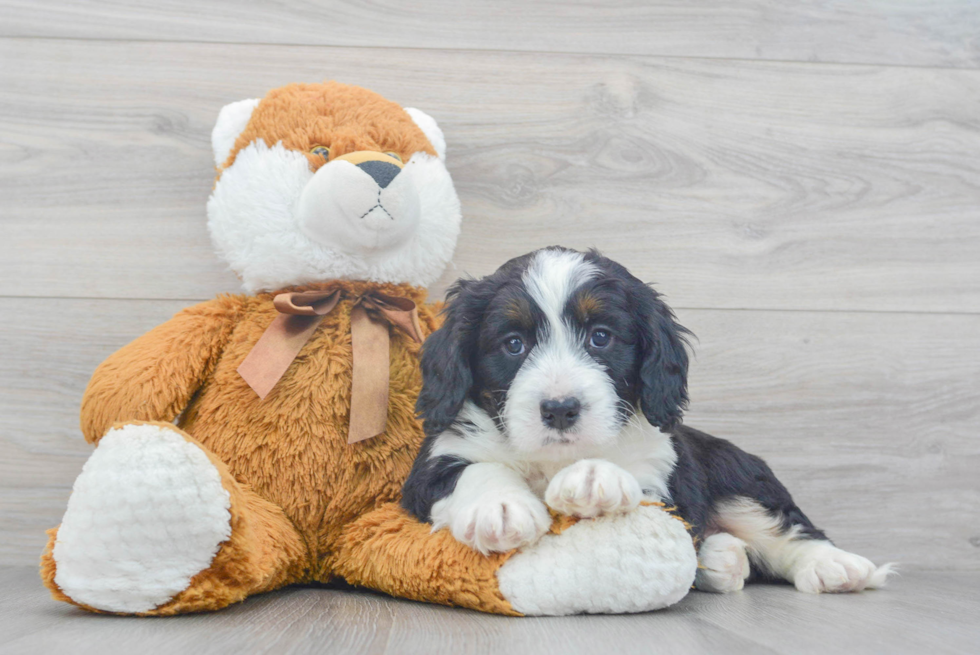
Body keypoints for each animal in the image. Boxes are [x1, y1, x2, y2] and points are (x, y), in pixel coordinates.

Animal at [400, 246, 896, 596]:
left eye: (601, 337)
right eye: (513, 344)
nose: (559, 409)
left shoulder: (663, 476)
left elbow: (633, 481)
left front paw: (593, 477)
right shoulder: (432, 465)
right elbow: (475, 469)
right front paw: (499, 507)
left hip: (739, 475)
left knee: (784, 528)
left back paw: (833, 566)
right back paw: (723, 559)